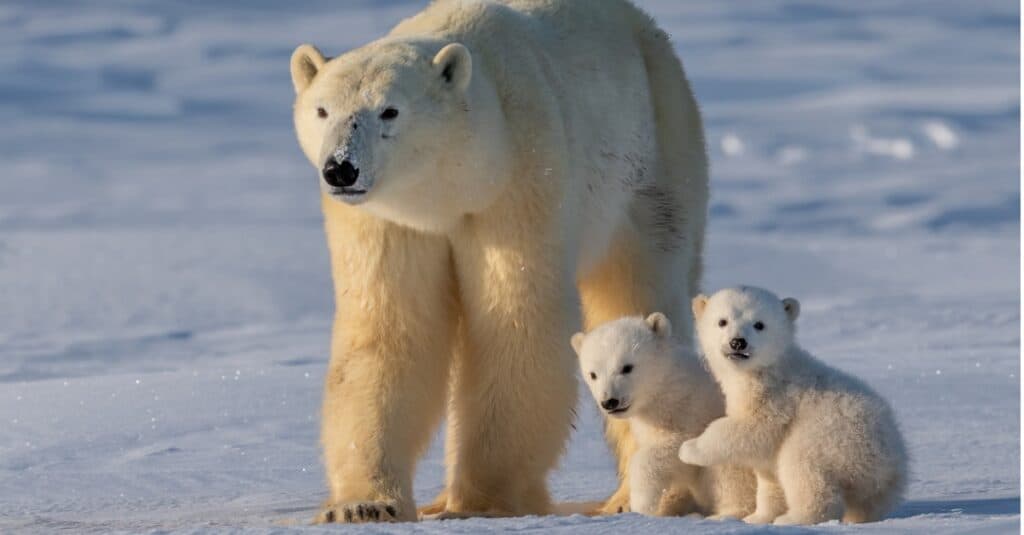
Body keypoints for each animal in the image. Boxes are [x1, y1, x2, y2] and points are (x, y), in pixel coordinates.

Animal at [286, 0, 704, 520]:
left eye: (390, 110)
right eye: (322, 110)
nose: (341, 169)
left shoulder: (519, 181)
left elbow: (515, 323)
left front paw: (482, 502)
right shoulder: (389, 221)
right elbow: (388, 330)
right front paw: (363, 505)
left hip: (653, 156)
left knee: (639, 286)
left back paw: (637, 497)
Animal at [573, 311, 757, 516]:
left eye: (627, 367)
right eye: (593, 374)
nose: (610, 402)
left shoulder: (692, 412)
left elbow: (674, 449)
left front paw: (642, 503)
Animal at [679, 284, 905, 522]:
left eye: (759, 324)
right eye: (722, 321)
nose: (738, 342)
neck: (767, 368)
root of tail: (890, 462)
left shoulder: (775, 397)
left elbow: (750, 428)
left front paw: (688, 449)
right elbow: (769, 476)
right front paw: (757, 518)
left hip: (833, 437)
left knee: (802, 467)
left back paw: (794, 517)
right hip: (873, 482)